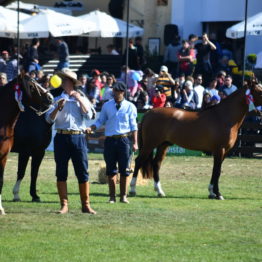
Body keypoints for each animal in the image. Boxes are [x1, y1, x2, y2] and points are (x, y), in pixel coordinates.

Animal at [0, 74, 53, 214]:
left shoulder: (20, 153)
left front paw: (16, 195)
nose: (50, 98)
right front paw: (34, 195)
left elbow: (21, 172)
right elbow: (32, 173)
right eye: (31, 86)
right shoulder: (36, 152)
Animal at [129, 81, 262, 200]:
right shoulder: (220, 150)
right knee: (138, 161)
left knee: (156, 164)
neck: (223, 116)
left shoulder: (224, 152)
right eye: (259, 91)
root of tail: (149, 113)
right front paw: (218, 194)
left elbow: (216, 171)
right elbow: (217, 171)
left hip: (163, 145)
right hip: (149, 145)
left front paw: (212, 193)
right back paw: (132, 189)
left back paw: (160, 191)